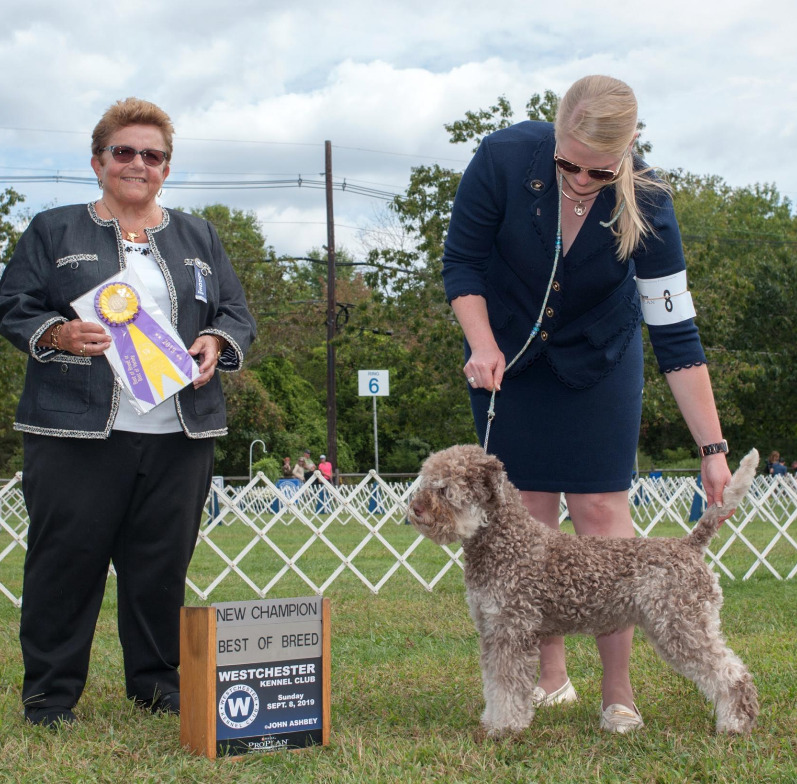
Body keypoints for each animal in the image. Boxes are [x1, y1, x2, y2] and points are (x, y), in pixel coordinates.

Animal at [410, 448, 760, 736]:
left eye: (444, 489)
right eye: (425, 482)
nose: (414, 509)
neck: (508, 542)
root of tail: (689, 545)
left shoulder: (511, 631)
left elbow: (508, 685)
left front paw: (506, 726)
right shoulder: (492, 630)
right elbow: (495, 683)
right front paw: (493, 720)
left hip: (681, 626)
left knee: (733, 674)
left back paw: (735, 724)